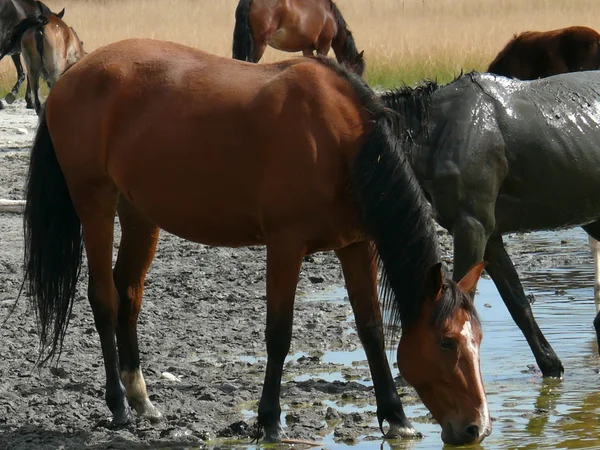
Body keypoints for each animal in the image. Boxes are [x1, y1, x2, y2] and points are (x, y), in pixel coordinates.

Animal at [21, 39, 490, 446]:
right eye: (447, 342)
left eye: (478, 340)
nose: (476, 428)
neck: (341, 141)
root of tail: (72, 74)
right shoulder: (285, 244)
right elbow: (278, 333)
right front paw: (269, 421)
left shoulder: (355, 245)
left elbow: (371, 329)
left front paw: (397, 417)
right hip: (95, 202)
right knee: (104, 298)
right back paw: (118, 404)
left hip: (138, 212)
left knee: (129, 294)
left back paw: (141, 399)